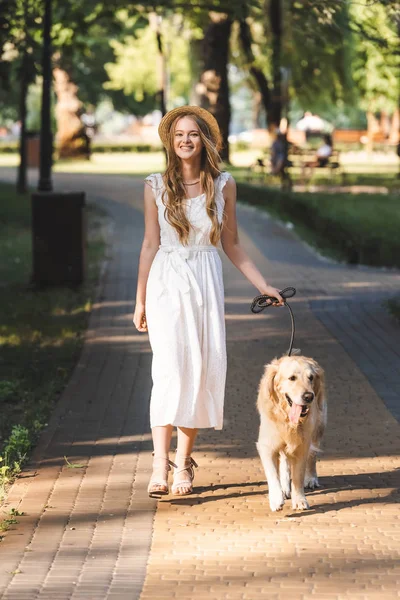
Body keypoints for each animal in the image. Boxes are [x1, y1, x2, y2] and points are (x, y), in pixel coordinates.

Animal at [255, 354, 326, 512]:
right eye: (292, 378)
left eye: (311, 377)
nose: (309, 396)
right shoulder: (266, 446)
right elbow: (272, 474)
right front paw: (276, 498)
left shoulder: (302, 446)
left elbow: (298, 476)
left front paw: (299, 500)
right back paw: (284, 487)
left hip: (318, 427)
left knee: (312, 455)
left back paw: (311, 478)